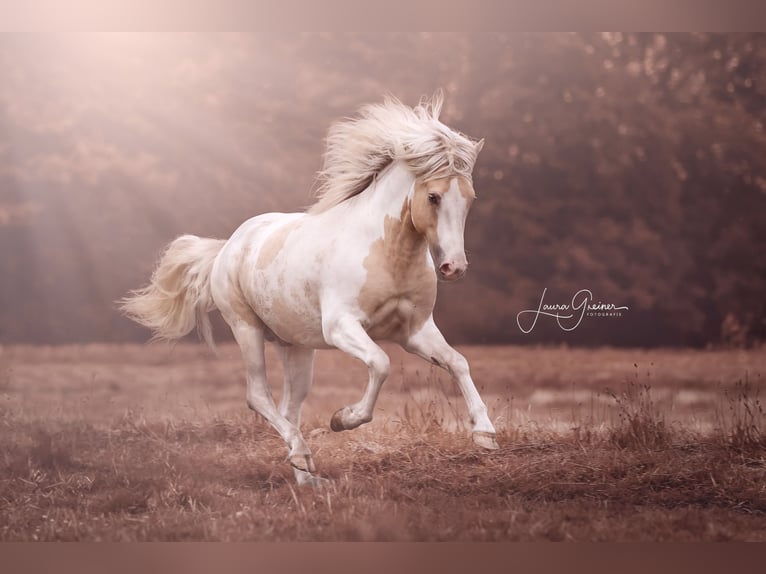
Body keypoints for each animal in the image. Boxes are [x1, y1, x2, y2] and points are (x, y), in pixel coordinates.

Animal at [120, 91, 498, 486]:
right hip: (247, 329)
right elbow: (380, 364)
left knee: (290, 407)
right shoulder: (341, 327)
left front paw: (485, 434)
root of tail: (228, 246)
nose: (454, 267)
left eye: (470, 198)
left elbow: (458, 362)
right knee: (259, 396)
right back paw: (303, 456)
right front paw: (342, 419)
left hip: (297, 348)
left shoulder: (415, 332)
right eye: (434, 197)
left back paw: (306, 477)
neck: (389, 253)